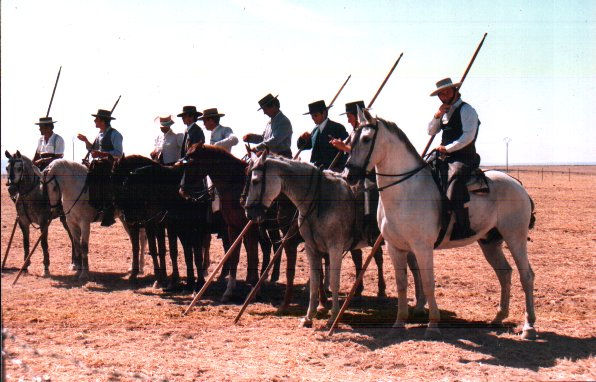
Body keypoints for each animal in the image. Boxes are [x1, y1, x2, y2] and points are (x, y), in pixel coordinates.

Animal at [244, 152, 426, 328]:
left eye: (255, 181)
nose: (249, 212)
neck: (319, 199)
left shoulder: (335, 248)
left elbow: (334, 281)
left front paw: (332, 317)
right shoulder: (312, 248)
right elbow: (315, 281)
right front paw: (309, 317)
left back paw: (419, 306)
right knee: (414, 268)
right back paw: (419, 305)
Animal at [342, 114, 536, 340]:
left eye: (366, 139)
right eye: (350, 140)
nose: (349, 175)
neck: (405, 191)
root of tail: (516, 183)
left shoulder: (422, 247)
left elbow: (427, 282)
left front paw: (433, 324)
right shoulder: (395, 247)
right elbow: (401, 284)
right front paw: (399, 322)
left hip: (515, 237)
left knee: (526, 276)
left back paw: (529, 327)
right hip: (490, 242)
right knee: (504, 273)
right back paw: (498, 318)